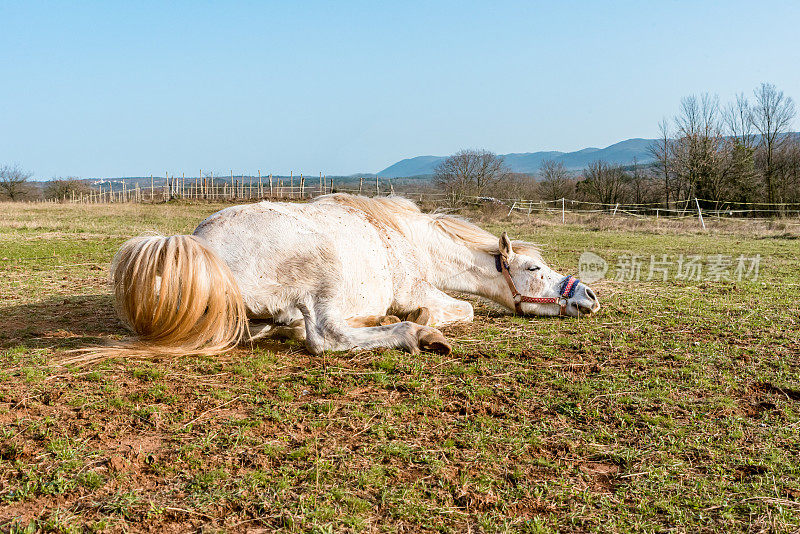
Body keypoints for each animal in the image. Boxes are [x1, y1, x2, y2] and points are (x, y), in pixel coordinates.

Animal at [103, 194, 596, 360]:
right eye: (534, 269)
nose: (589, 295)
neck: (408, 238)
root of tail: (201, 248)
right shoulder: (415, 289)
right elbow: (464, 309)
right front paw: (423, 320)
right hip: (322, 273)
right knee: (325, 336)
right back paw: (415, 333)